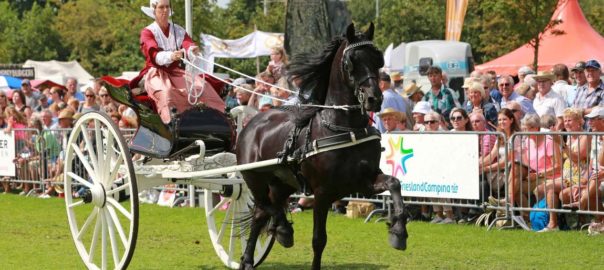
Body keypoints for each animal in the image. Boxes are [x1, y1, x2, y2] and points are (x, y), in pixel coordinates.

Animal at [235, 23, 406, 270]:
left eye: (378, 59)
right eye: (351, 61)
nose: (374, 98)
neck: (344, 128)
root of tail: (252, 123)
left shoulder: (364, 182)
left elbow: (394, 183)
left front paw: (398, 231)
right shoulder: (322, 193)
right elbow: (319, 239)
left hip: (282, 183)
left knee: (261, 212)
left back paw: (252, 256)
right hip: (254, 179)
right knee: (264, 207)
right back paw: (280, 232)